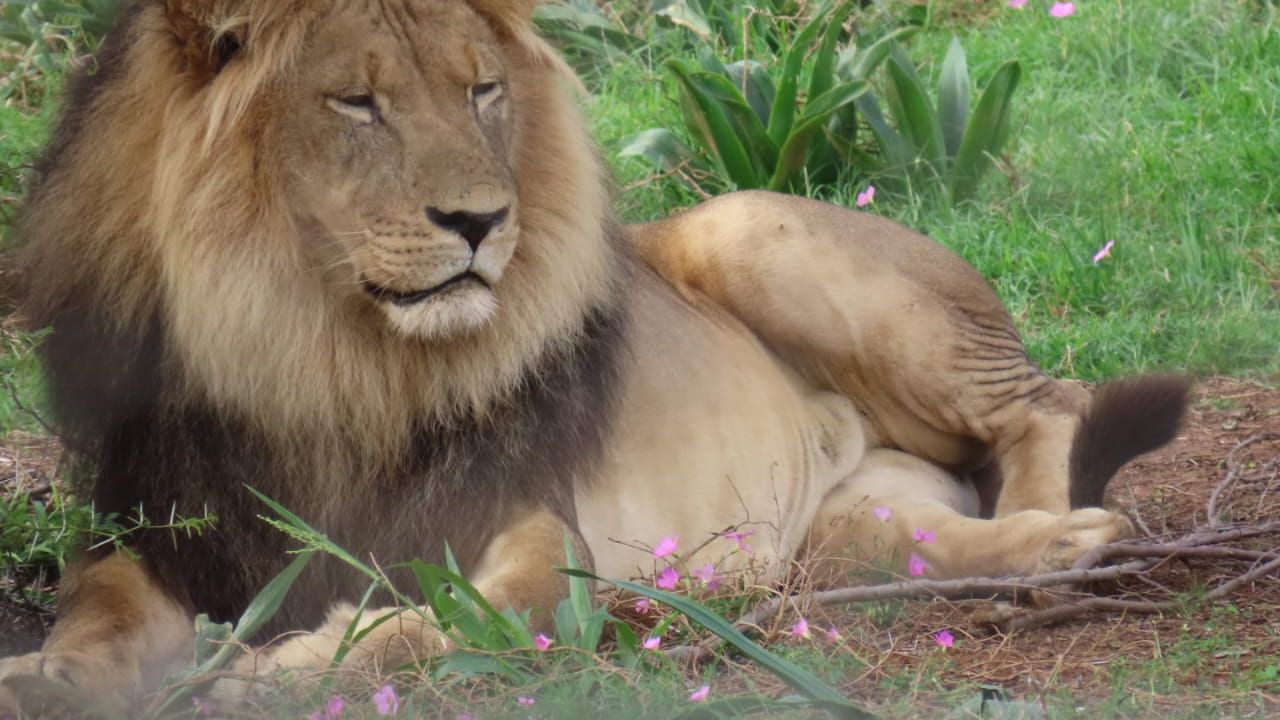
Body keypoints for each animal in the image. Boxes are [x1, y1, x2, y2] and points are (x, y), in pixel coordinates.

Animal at [0, 0, 1188, 713]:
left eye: (481, 90)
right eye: (357, 102)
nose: (481, 221)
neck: (329, 357)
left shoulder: (538, 534)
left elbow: (452, 622)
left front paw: (277, 668)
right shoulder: (155, 528)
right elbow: (100, 617)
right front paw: (44, 675)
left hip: (743, 226)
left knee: (1048, 402)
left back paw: (1059, 525)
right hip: (847, 531)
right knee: (925, 542)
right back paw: (1056, 546)